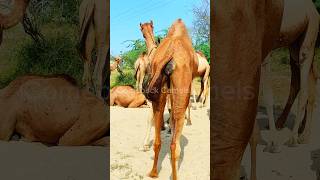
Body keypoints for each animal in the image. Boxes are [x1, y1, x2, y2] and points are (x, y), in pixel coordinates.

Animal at [143, 18, 198, 180]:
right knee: (175, 143)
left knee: (158, 138)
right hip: (181, 84)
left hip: (159, 91)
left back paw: (153, 172)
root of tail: (169, 54)